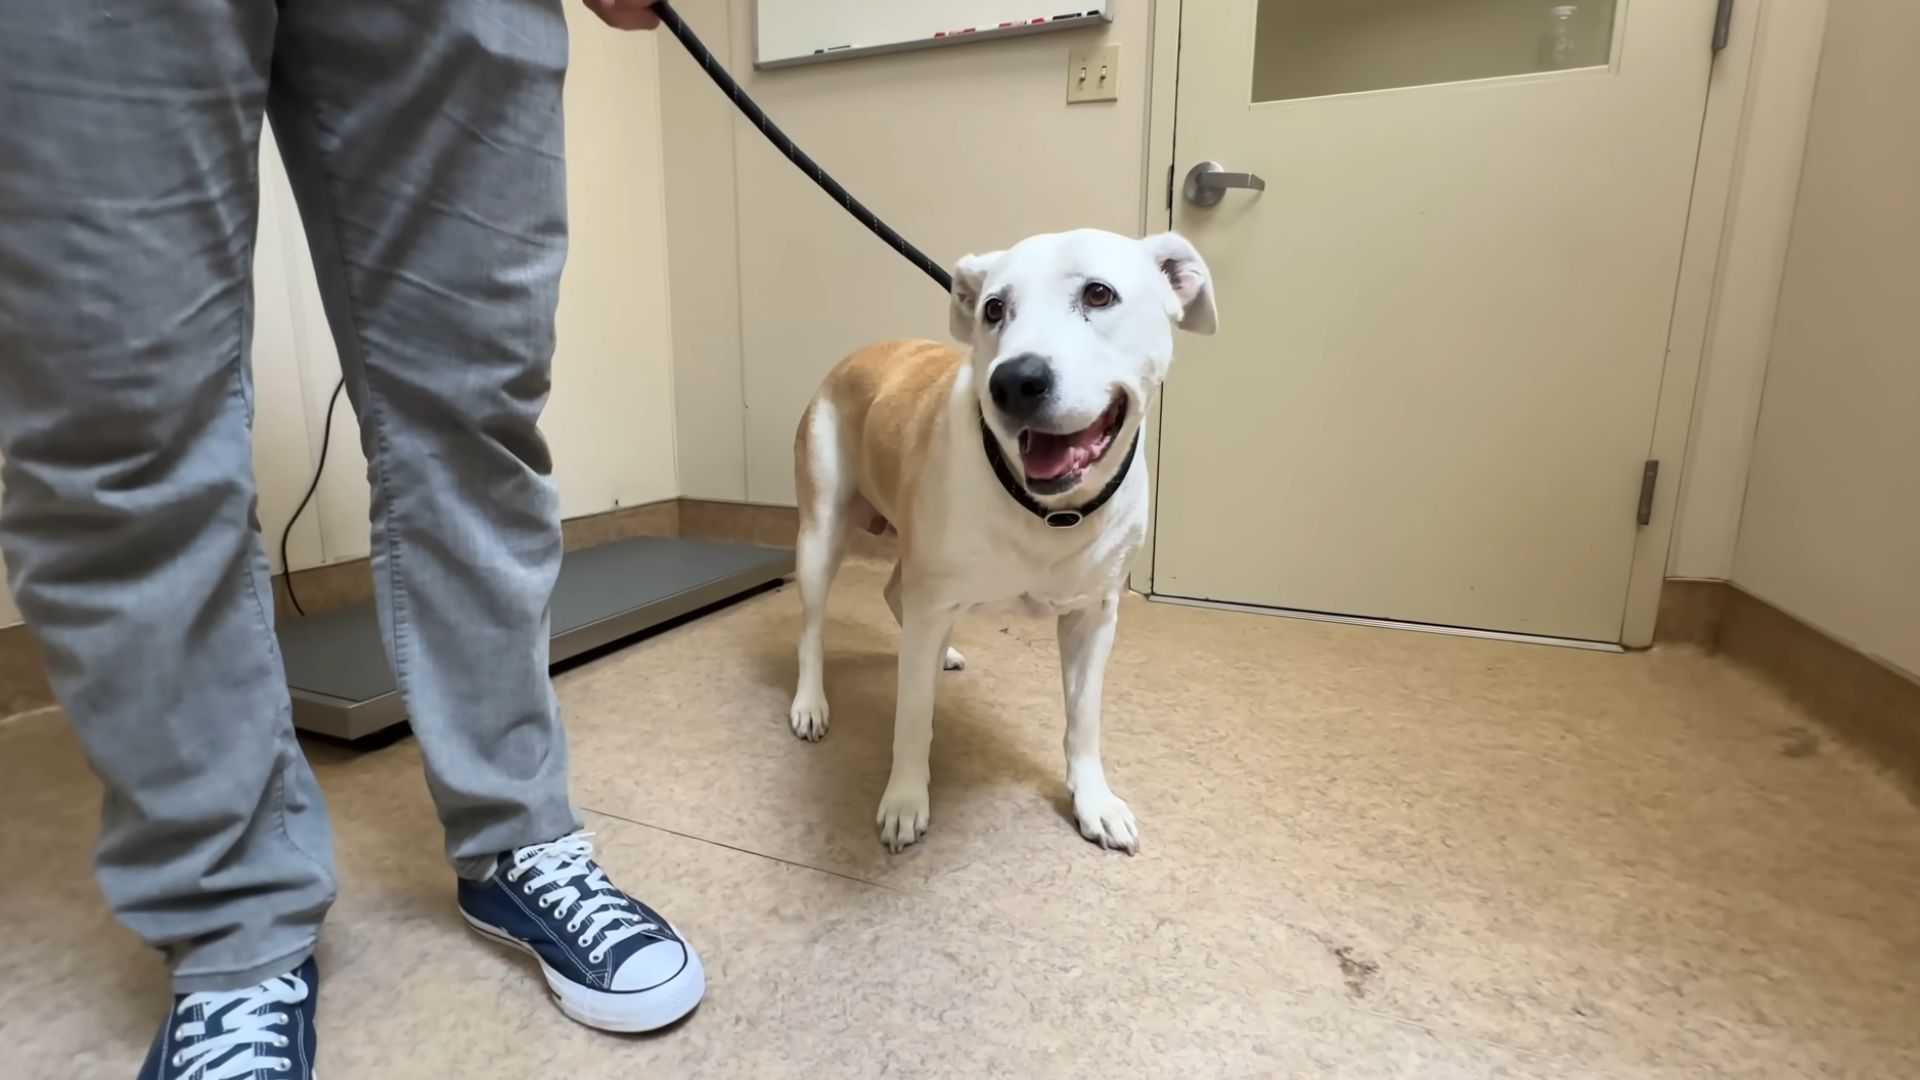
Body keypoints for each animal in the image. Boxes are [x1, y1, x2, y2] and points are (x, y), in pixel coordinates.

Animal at [783, 226, 1205, 849]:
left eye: (1099, 294)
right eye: (993, 308)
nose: (1014, 380)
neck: (1049, 512)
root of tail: (854, 357)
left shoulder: (1093, 617)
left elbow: (1084, 720)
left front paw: (1094, 802)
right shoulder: (933, 598)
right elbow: (913, 717)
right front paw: (905, 800)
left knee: (894, 595)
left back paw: (942, 654)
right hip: (821, 534)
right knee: (812, 628)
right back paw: (811, 703)